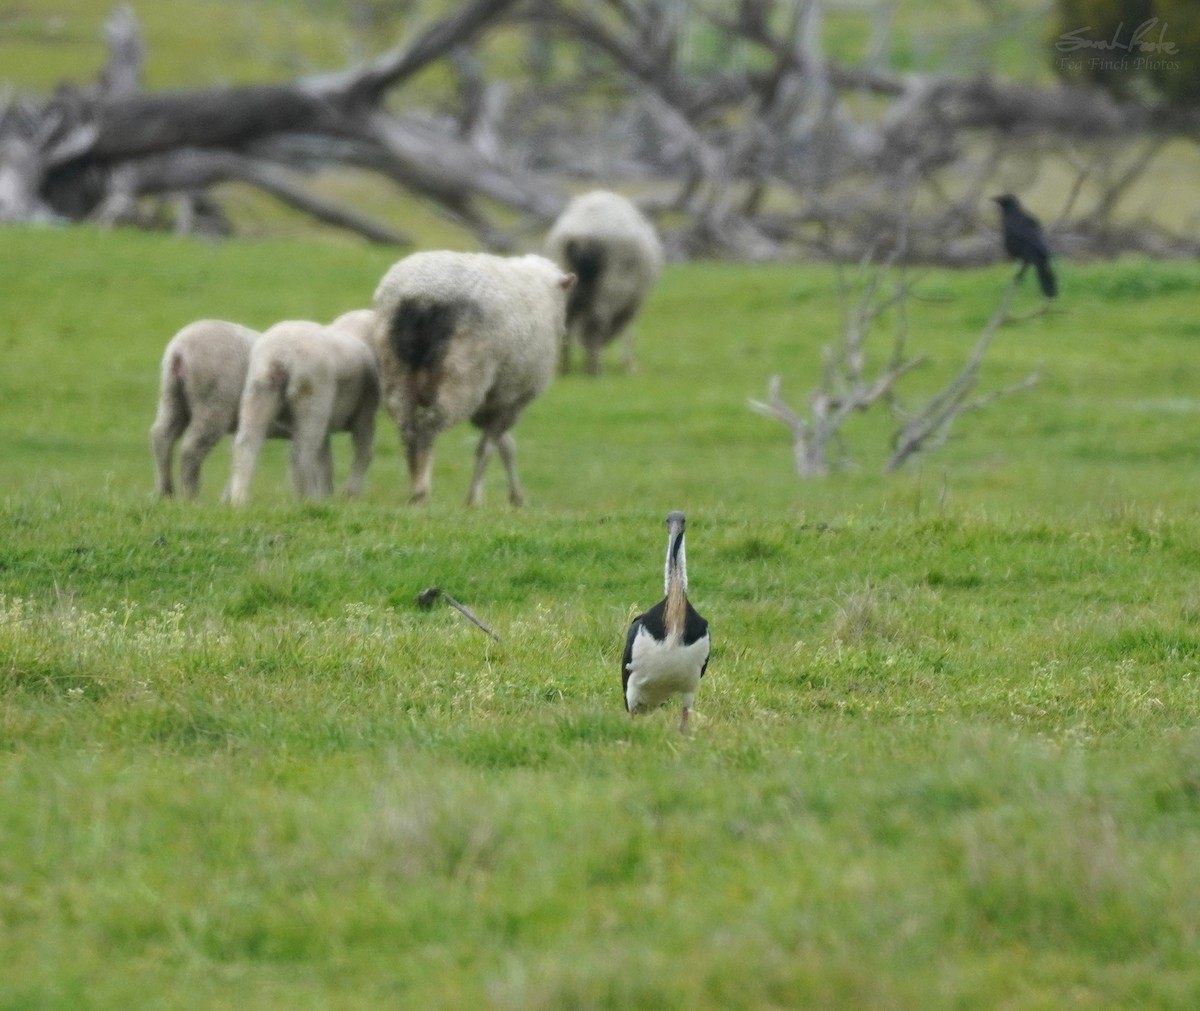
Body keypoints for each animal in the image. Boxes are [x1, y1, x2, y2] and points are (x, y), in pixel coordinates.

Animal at [149, 316, 260, 499]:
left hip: (173, 396)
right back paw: (191, 496)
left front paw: (227, 499)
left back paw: (166, 493)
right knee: (191, 448)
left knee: (161, 435)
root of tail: (179, 350)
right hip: (214, 404)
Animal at [223, 319, 376, 504]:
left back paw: (240, 500)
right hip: (312, 399)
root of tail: (280, 355)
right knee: (300, 454)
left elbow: (324, 462)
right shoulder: (365, 413)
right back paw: (308, 499)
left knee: (246, 444)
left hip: (258, 391)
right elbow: (363, 453)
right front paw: (349, 495)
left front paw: (327, 495)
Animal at [369, 249, 576, 509]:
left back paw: (414, 484)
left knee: (408, 430)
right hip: (463, 376)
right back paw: (420, 490)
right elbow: (487, 449)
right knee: (428, 428)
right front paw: (474, 499)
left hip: (396, 370)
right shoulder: (511, 400)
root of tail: (424, 295)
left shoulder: (492, 401)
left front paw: (516, 497)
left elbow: (506, 447)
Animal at [547, 187, 667, 372]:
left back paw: (564, 368)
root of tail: (585, 228)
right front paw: (629, 365)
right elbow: (627, 331)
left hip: (565, 276)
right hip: (611, 284)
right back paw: (595, 369)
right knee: (596, 320)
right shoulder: (631, 301)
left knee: (566, 320)